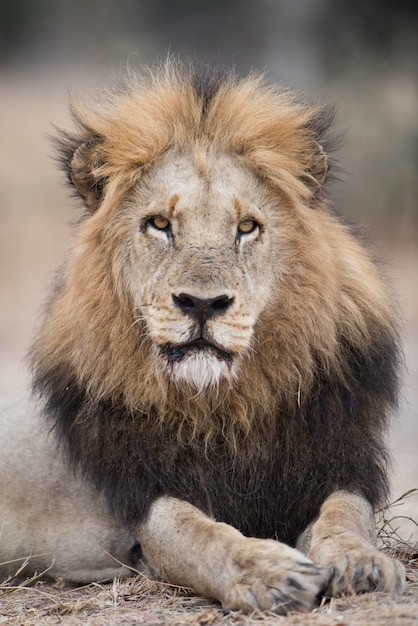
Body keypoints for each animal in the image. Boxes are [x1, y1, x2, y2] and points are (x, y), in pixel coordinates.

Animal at [0, 62, 404, 608]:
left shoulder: (337, 465)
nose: (203, 304)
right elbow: (200, 534)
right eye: (159, 224)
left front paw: (362, 565)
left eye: (248, 227)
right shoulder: (142, 497)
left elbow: (344, 519)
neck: (225, 409)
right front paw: (269, 572)